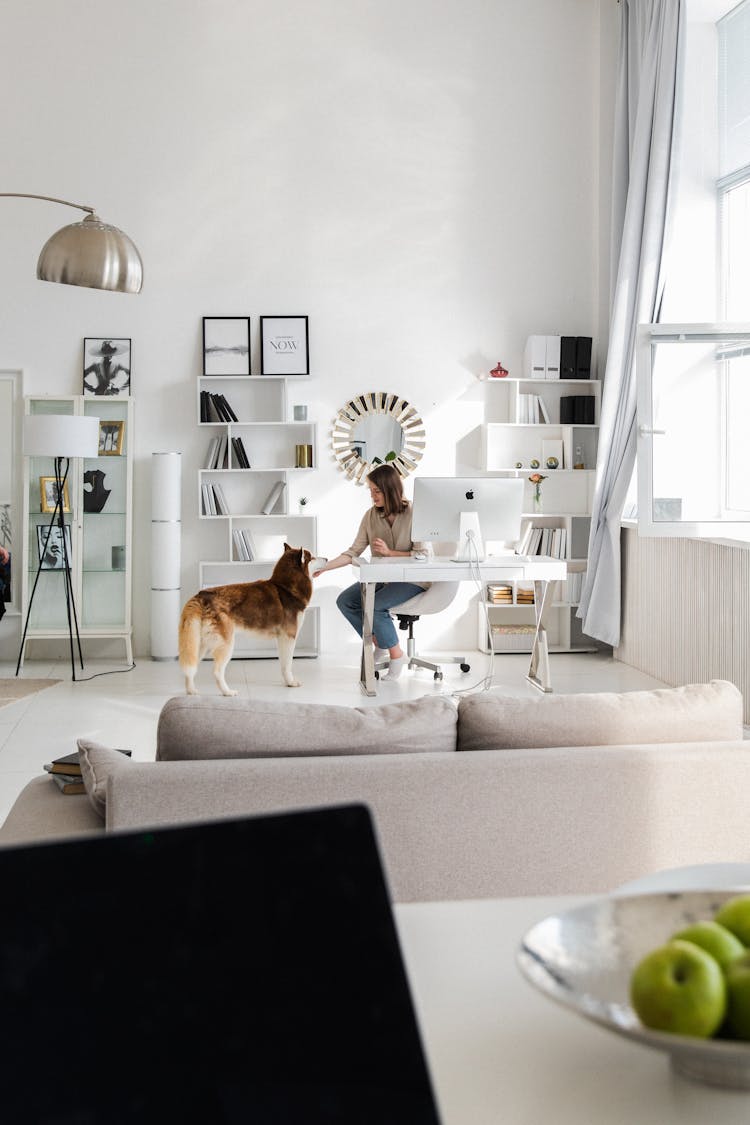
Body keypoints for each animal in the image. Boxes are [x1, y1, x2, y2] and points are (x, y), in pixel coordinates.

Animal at [178, 544, 314, 693]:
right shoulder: (289, 637)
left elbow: (283, 664)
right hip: (225, 643)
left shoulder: (282, 638)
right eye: (313, 557)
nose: (325, 558)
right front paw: (291, 682)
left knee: (190, 668)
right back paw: (227, 692)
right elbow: (288, 664)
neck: (286, 588)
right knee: (217, 672)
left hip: (201, 644)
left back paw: (191, 691)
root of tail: (202, 595)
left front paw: (287, 681)